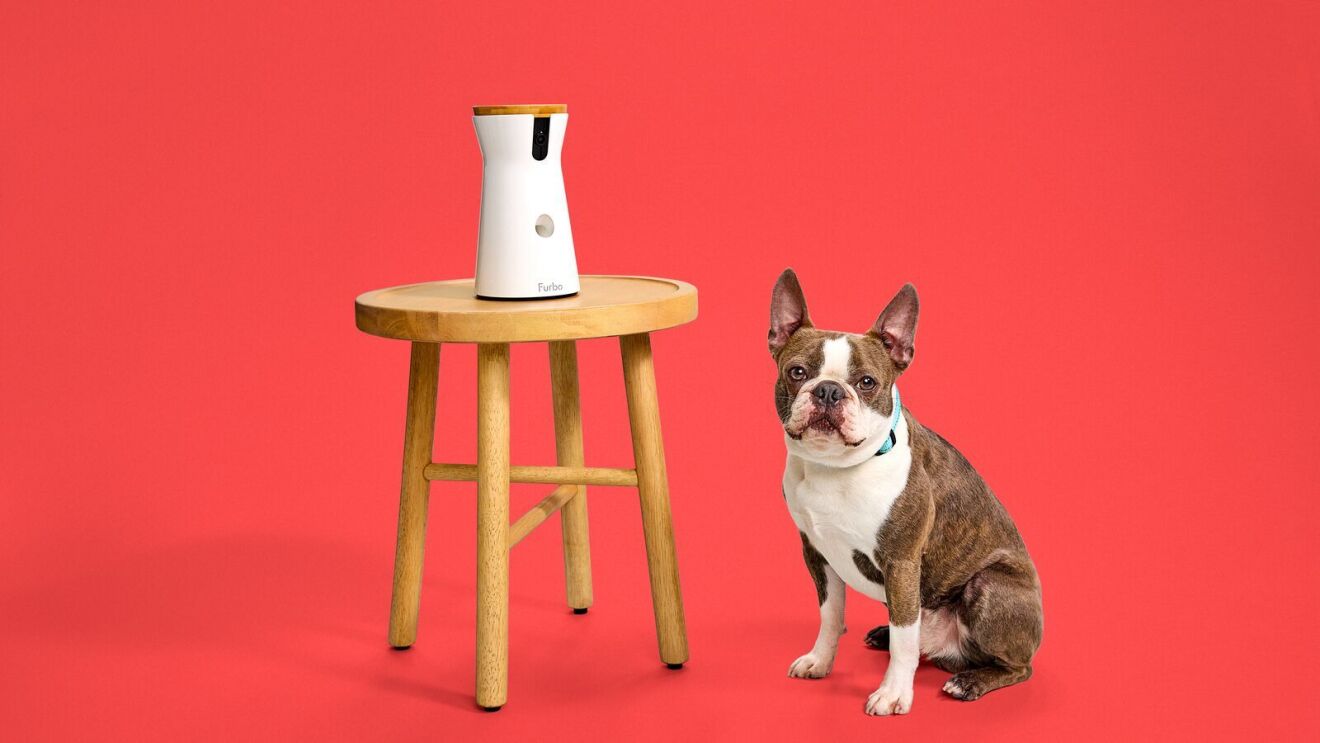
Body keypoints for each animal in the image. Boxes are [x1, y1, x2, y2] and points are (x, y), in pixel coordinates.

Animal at [770, 267, 1040, 712]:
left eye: (866, 382)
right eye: (797, 372)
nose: (828, 390)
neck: (837, 469)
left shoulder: (901, 562)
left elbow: (904, 641)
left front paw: (894, 693)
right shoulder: (817, 554)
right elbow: (831, 616)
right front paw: (820, 661)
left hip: (987, 586)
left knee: (1017, 666)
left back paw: (970, 681)